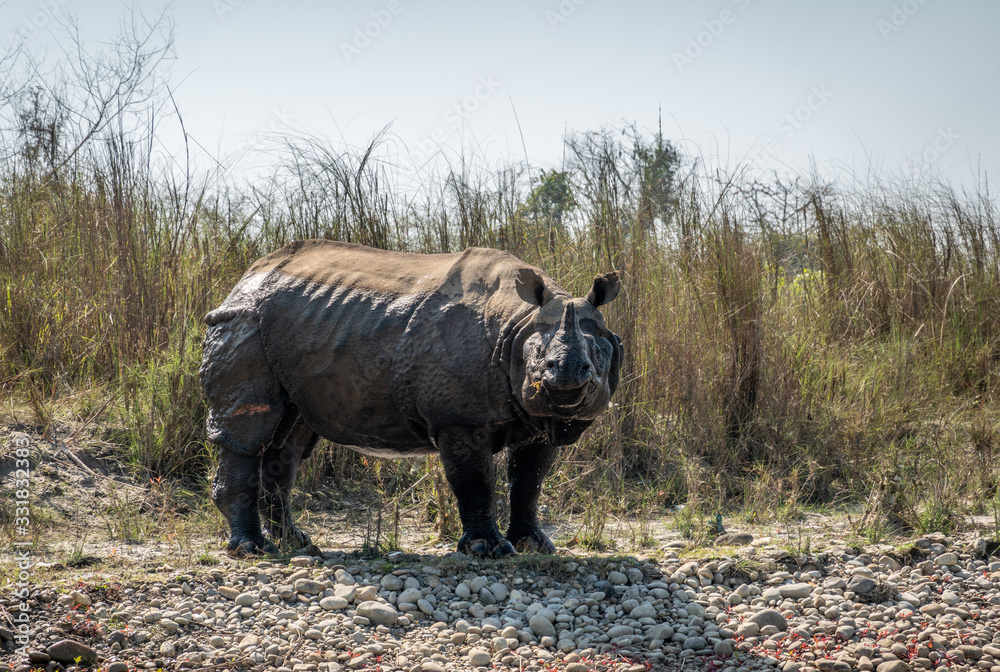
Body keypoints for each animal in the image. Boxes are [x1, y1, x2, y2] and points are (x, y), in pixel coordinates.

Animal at [201, 240, 622, 557]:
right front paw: (488, 550)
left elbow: (529, 480)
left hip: (301, 324)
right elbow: (475, 479)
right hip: (244, 321)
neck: (518, 326)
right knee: (249, 430)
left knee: (290, 436)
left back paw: (298, 543)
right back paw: (254, 550)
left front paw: (533, 545)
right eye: (540, 357)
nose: (563, 378)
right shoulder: (458, 417)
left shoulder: (539, 418)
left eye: (595, 358)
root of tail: (245, 278)